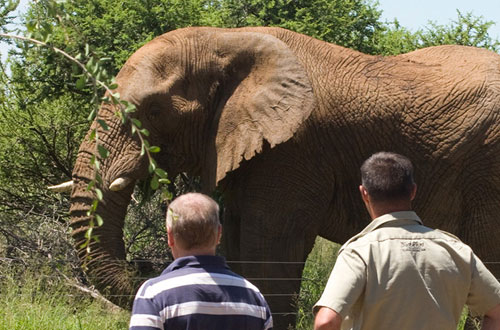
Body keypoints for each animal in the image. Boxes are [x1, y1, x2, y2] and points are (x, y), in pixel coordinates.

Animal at [61, 27, 500, 328]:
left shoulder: (293, 149)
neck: (226, 40)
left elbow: (271, 244)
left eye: (153, 111)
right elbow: (237, 238)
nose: (142, 268)